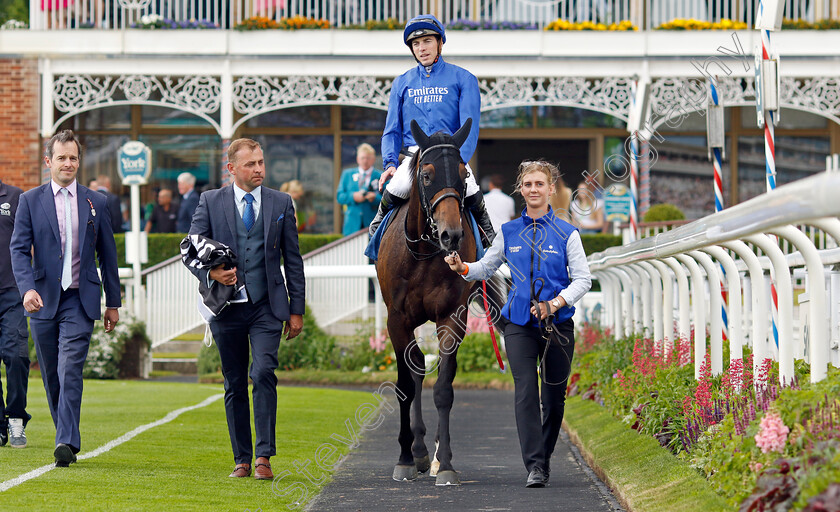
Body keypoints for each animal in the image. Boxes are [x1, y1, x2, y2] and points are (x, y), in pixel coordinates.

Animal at [376, 118, 476, 486]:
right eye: (428, 175)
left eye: (463, 174)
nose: (452, 235)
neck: (423, 254)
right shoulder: (396, 320)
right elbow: (406, 383)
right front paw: (405, 458)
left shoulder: (452, 317)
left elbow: (444, 387)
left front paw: (444, 463)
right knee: (416, 367)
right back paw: (417, 451)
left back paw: (428, 454)